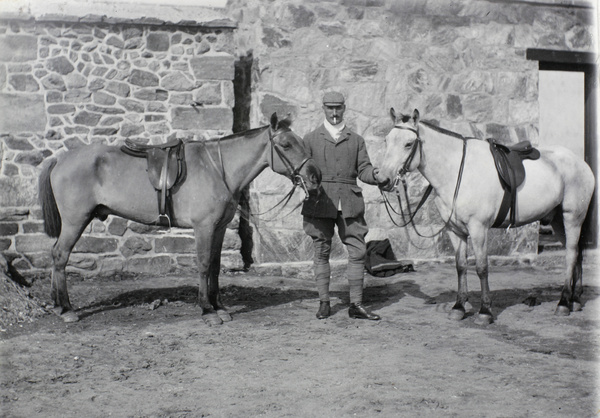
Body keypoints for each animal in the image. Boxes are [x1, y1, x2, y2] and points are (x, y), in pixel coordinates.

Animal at [39, 114, 322, 326]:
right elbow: (204, 265)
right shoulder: (203, 228)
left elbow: (216, 266)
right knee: (60, 255)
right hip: (76, 221)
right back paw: (66, 309)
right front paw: (207, 310)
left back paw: (57, 306)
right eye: (286, 145)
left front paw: (219, 307)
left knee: (56, 255)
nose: (315, 176)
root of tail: (59, 159)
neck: (219, 169)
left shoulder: (219, 228)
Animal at [380, 109, 596, 324]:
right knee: (576, 254)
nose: (382, 180)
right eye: (386, 140)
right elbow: (461, 266)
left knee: (570, 255)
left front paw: (485, 311)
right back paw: (575, 300)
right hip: (558, 221)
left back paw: (563, 303)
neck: (457, 172)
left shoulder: (478, 228)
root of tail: (581, 164)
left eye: (408, 144)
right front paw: (458, 307)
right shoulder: (455, 231)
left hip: (572, 218)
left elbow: (482, 268)